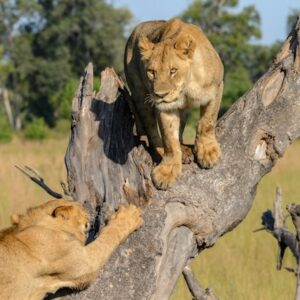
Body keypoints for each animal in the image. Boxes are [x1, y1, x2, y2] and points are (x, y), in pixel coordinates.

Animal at [123, 17, 223, 189]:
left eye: (173, 71)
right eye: (152, 72)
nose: (160, 95)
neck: (186, 87)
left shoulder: (216, 87)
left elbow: (207, 122)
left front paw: (208, 151)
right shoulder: (165, 108)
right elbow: (169, 138)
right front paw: (167, 170)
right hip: (139, 95)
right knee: (152, 130)